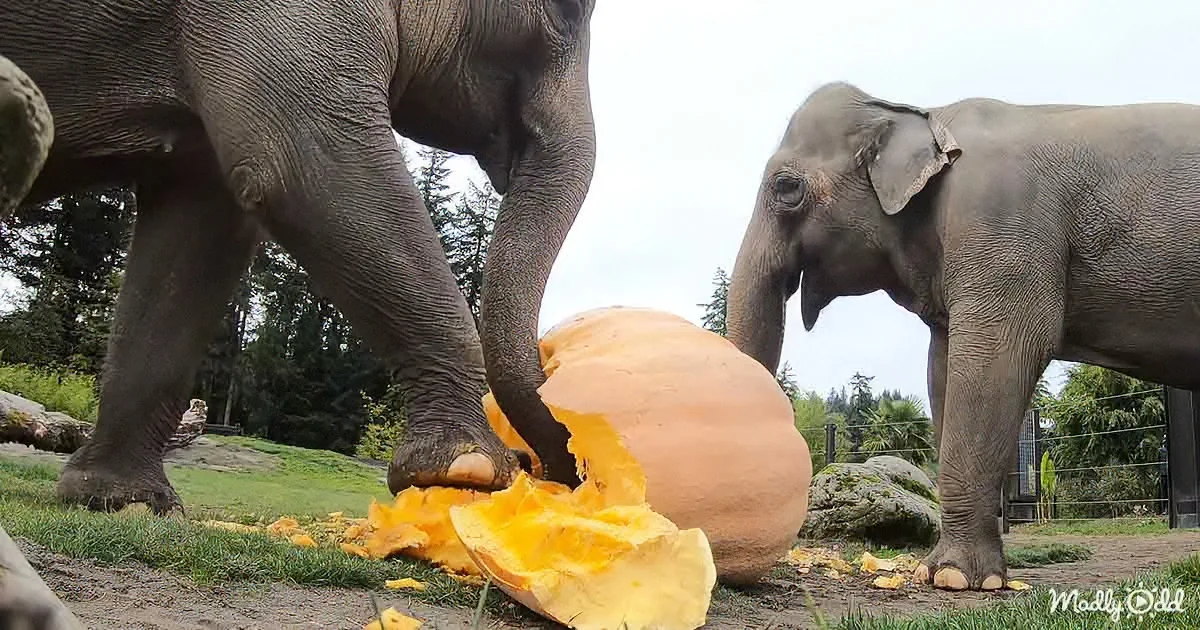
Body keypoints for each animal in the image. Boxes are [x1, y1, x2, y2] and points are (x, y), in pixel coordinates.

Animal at [0, 0, 597, 515]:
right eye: (568, 9)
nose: (536, 465)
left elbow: (197, 232)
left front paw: (127, 503)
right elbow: (308, 166)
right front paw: (469, 471)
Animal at [726, 81, 1200, 591]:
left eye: (786, 188)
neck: (925, 115)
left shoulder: (1000, 228)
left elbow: (997, 356)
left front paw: (953, 578)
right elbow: (942, 368)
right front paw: (949, 574)